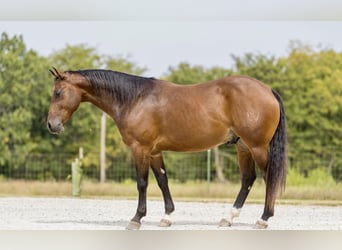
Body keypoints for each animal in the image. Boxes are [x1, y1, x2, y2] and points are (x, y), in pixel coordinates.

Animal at [46, 67, 286, 229]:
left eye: (58, 93)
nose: (51, 125)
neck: (135, 99)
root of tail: (268, 90)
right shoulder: (154, 152)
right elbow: (162, 181)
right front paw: (167, 217)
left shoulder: (140, 149)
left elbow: (142, 183)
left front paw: (136, 219)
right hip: (243, 147)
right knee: (248, 179)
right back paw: (228, 218)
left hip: (257, 147)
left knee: (268, 177)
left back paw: (263, 219)